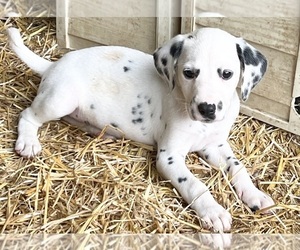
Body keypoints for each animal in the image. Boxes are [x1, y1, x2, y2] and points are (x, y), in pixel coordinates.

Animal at [7, 26, 274, 231]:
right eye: (189, 73)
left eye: (226, 74)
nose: (207, 108)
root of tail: (52, 66)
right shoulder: (169, 157)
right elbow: (194, 184)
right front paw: (213, 211)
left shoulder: (214, 145)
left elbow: (238, 168)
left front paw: (254, 194)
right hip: (60, 99)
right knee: (28, 115)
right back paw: (28, 142)